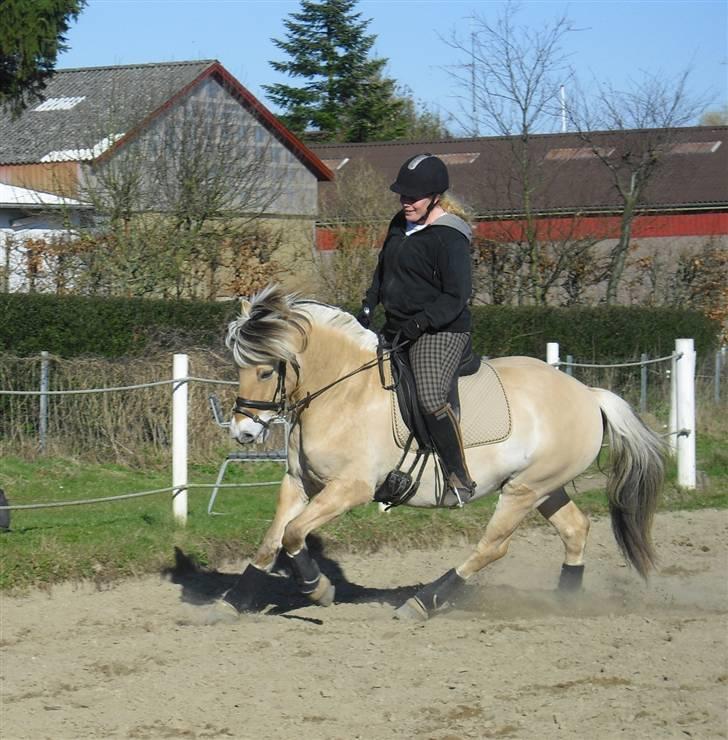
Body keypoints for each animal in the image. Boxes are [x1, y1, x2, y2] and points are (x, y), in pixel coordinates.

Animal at [218, 286, 664, 620]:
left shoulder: (350, 489)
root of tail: (588, 394)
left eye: (264, 370)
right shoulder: (299, 483)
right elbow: (272, 539)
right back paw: (564, 602)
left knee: (493, 547)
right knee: (575, 529)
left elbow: (294, 534)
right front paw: (232, 603)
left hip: (523, 491)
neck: (342, 393)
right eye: (238, 367)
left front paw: (318, 588)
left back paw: (423, 602)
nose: (243, 431)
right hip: (542, 486)